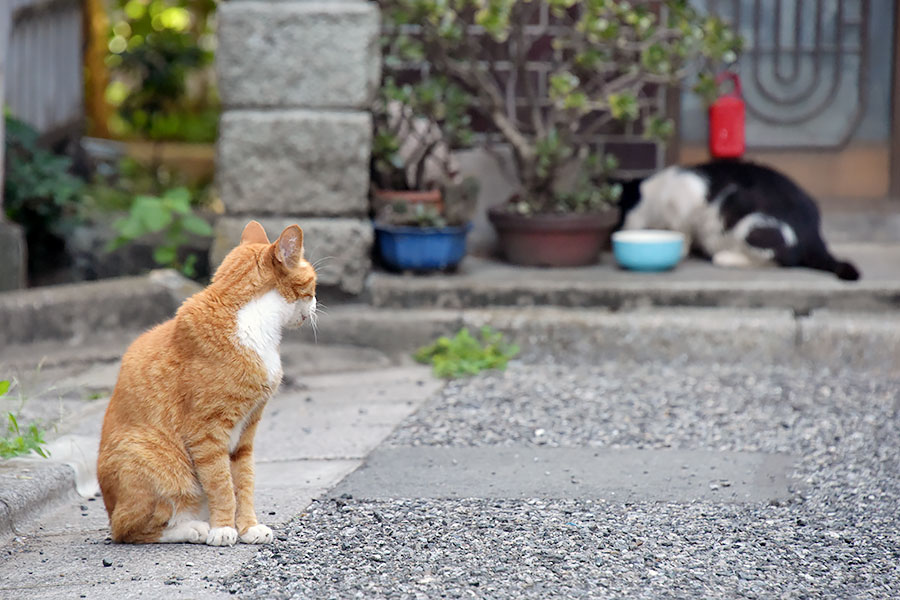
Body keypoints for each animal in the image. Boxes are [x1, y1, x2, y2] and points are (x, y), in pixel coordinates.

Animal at [97, 220, 316, 544]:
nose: (316, 305)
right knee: (131, 529)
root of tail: (110, 508)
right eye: (314, 285)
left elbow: (244, 484)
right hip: (148, 457)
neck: (253, 324)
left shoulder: (246, 433)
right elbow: (221, 485)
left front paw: (248, 527)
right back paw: (194, 528)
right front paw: (224, 528)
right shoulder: (207, 433)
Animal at [616, 159, 860, 282]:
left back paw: (725, 257)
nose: (619, 228)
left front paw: (683, 247)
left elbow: (683, 229)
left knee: (780, 259)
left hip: (745, 214)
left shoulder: (688, 195)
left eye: (620, 212)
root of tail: (815, 236)